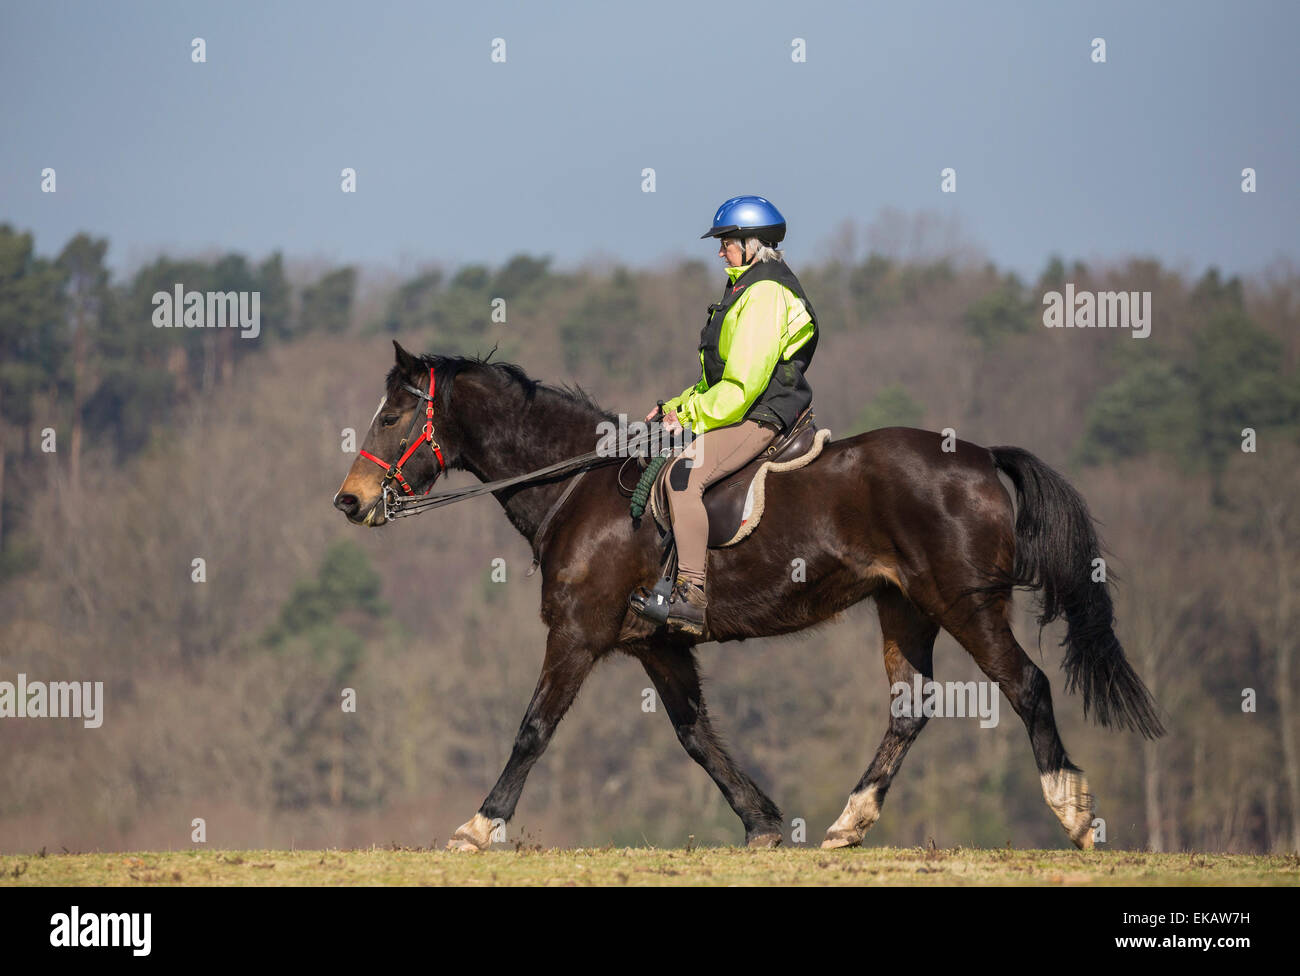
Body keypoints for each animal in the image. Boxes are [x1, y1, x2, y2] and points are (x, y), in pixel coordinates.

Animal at [330, 343, 1164, 852]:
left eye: (395, 414)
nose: (349, 500)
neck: (576, 485)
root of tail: (985, 457)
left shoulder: (577, 633)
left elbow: (533, 729)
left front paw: (480, 825)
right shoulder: (657, 646)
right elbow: (697, 736)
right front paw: (762, 821)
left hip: (965, 603)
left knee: (1027, 684)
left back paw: (1072, 810)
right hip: (906, 608)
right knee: (909, 711)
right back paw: (849, 822)